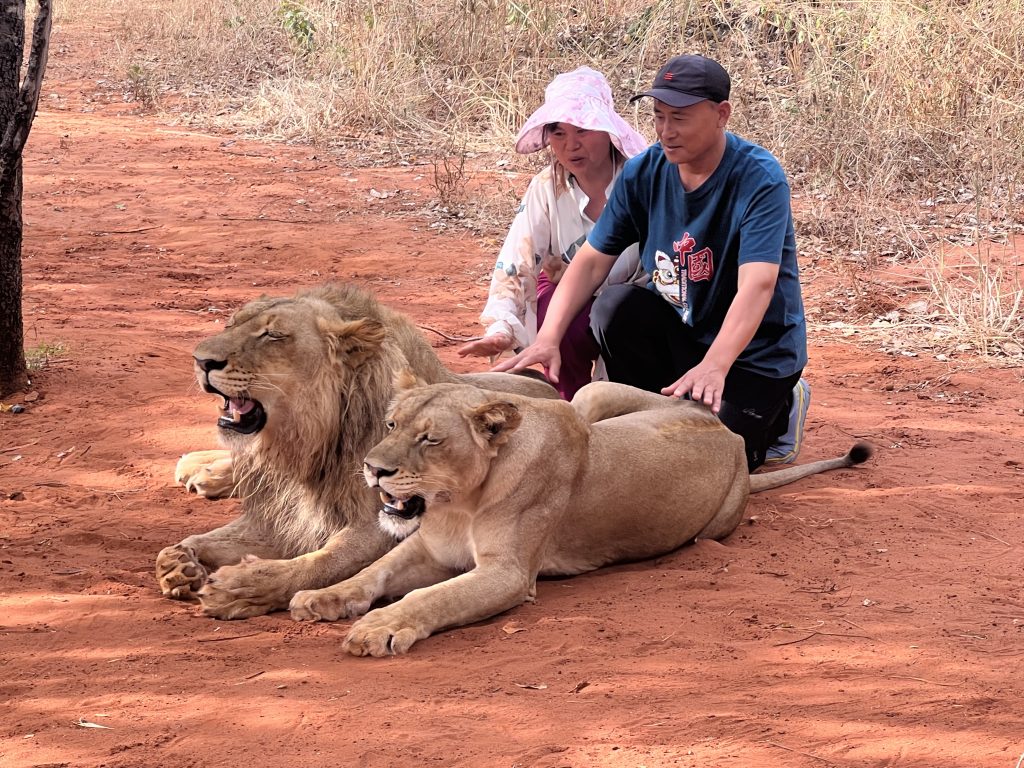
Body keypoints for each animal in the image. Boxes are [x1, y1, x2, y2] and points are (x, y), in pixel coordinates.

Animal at [155, 284, 557, 619]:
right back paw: (200, 468)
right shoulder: (281, 515)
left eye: (273, 335)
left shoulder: (380, 523)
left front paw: (244, 586)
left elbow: (319, 564)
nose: (201, 360)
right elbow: (202, 541)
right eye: (231, 323)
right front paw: (180, 562)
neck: (304, 445)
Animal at [287, 378, 872, 656]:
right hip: (589, 397)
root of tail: (730, 435)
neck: (460, 501)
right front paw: (322, 599)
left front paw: (380, 627)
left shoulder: (508, 574)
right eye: (390, 423)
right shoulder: (428, 545)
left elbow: (430, 597)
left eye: (431, 439)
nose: (373, 469)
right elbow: (373, 573)